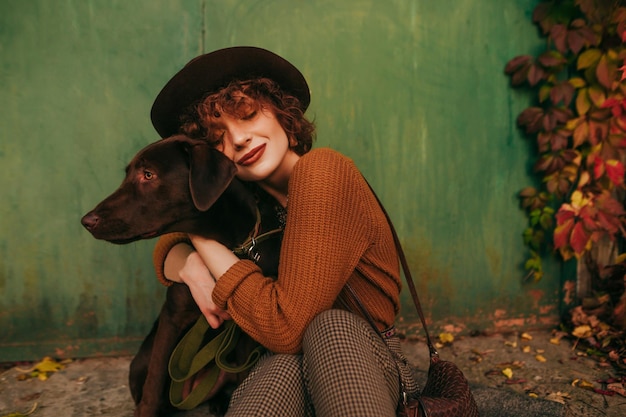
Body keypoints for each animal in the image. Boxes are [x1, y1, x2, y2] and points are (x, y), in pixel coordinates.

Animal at [80, 135, 278, 414]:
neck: (230, 247)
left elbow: (244, 377)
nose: (86, 221)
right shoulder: (172, 317)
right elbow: (154, 383)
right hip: (140, 359)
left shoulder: (250, 332)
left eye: (148, 174)